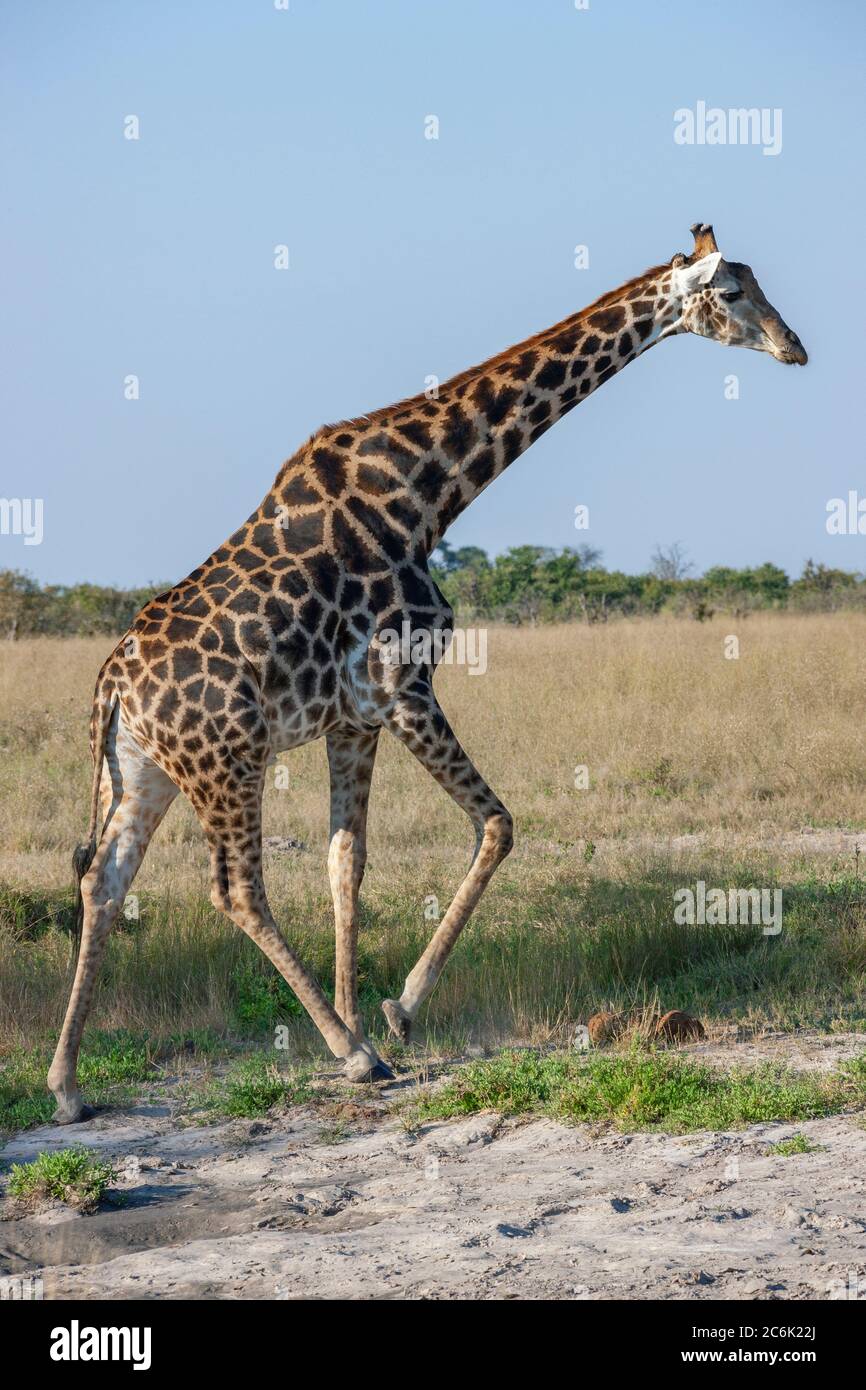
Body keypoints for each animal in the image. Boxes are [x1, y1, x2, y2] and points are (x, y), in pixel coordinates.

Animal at [47, 225, 806, 1117]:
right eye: (733, 292)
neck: (427, 492)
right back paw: (347, 1056)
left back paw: (66, 1085)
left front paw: (366, 1016)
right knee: (234, 889)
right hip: (227, 759)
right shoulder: (405, 688)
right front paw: (392, 1017)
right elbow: (499, 824)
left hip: (145, 772)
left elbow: (346, 864)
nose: (794, 347)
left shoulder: (354, 717)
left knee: (105, 880)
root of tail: (113, 690)